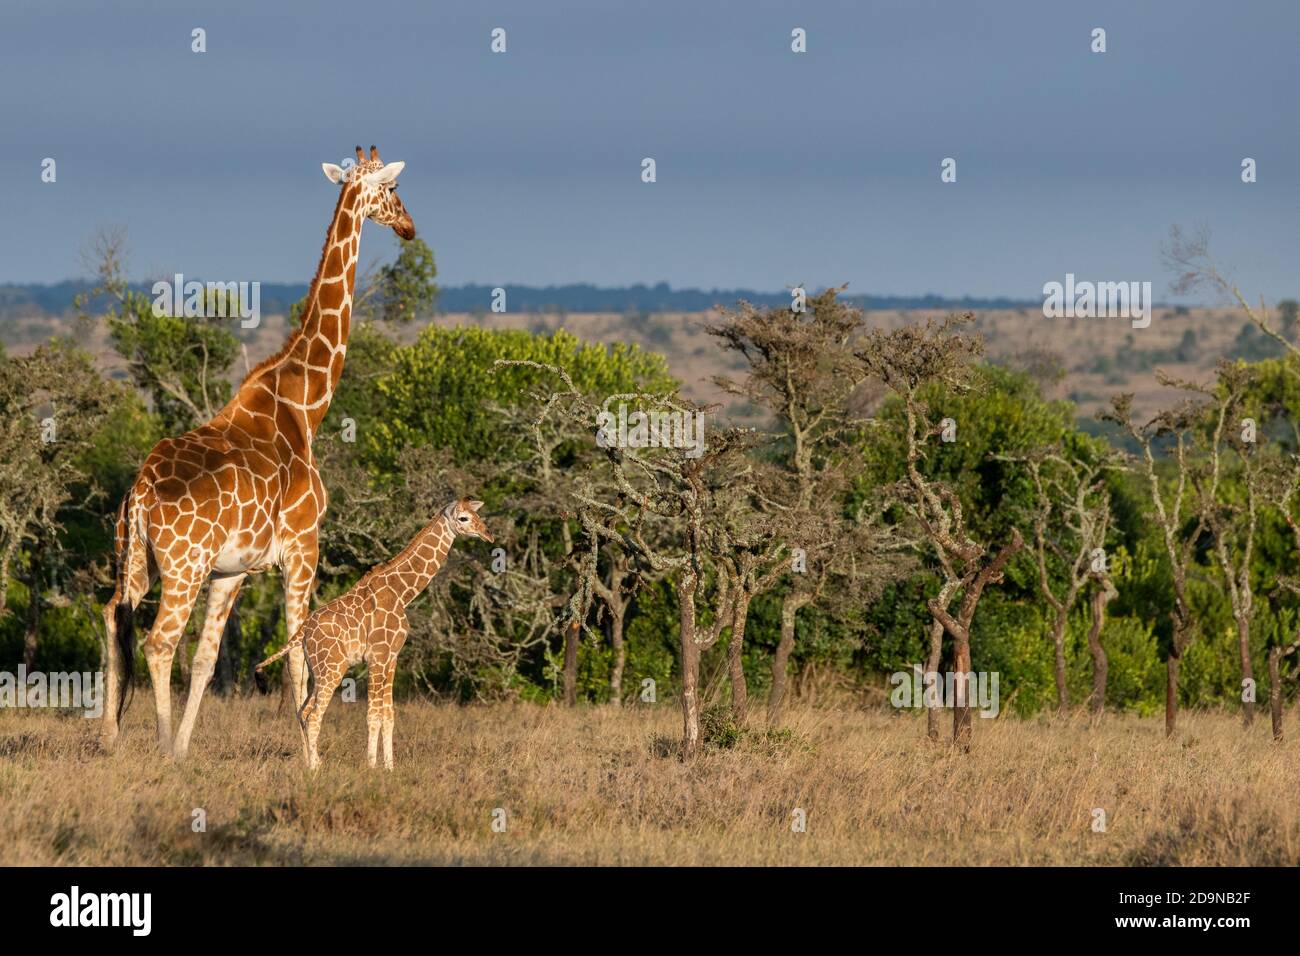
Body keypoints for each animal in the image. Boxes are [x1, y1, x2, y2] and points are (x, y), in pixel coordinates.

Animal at [102, 145, 416, 764]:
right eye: (392, 191)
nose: (410, 227)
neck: (306, 402)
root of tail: (141, 492)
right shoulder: (303, 547)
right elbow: (298, 658)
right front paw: (311, 755)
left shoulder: (234, 570)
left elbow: (207, 661)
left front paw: (186, 747)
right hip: (184, 566)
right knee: (157, 641)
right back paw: (153, 744)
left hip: (138, 559)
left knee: (113, 617)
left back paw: (110, 735)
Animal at [258, 502, 491, 770]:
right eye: (463, 518)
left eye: (477, 514)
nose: (487, 533)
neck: (402, 593)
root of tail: (302, 633)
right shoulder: (377, 656)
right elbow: (372, 715)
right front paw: (371, 766)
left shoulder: (392, 658)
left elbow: (388, 715)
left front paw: (389, 767)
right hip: (333, 668)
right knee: (314, 715)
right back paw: (316, 769)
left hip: (318, 670)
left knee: (304, 712)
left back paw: (311, 763)